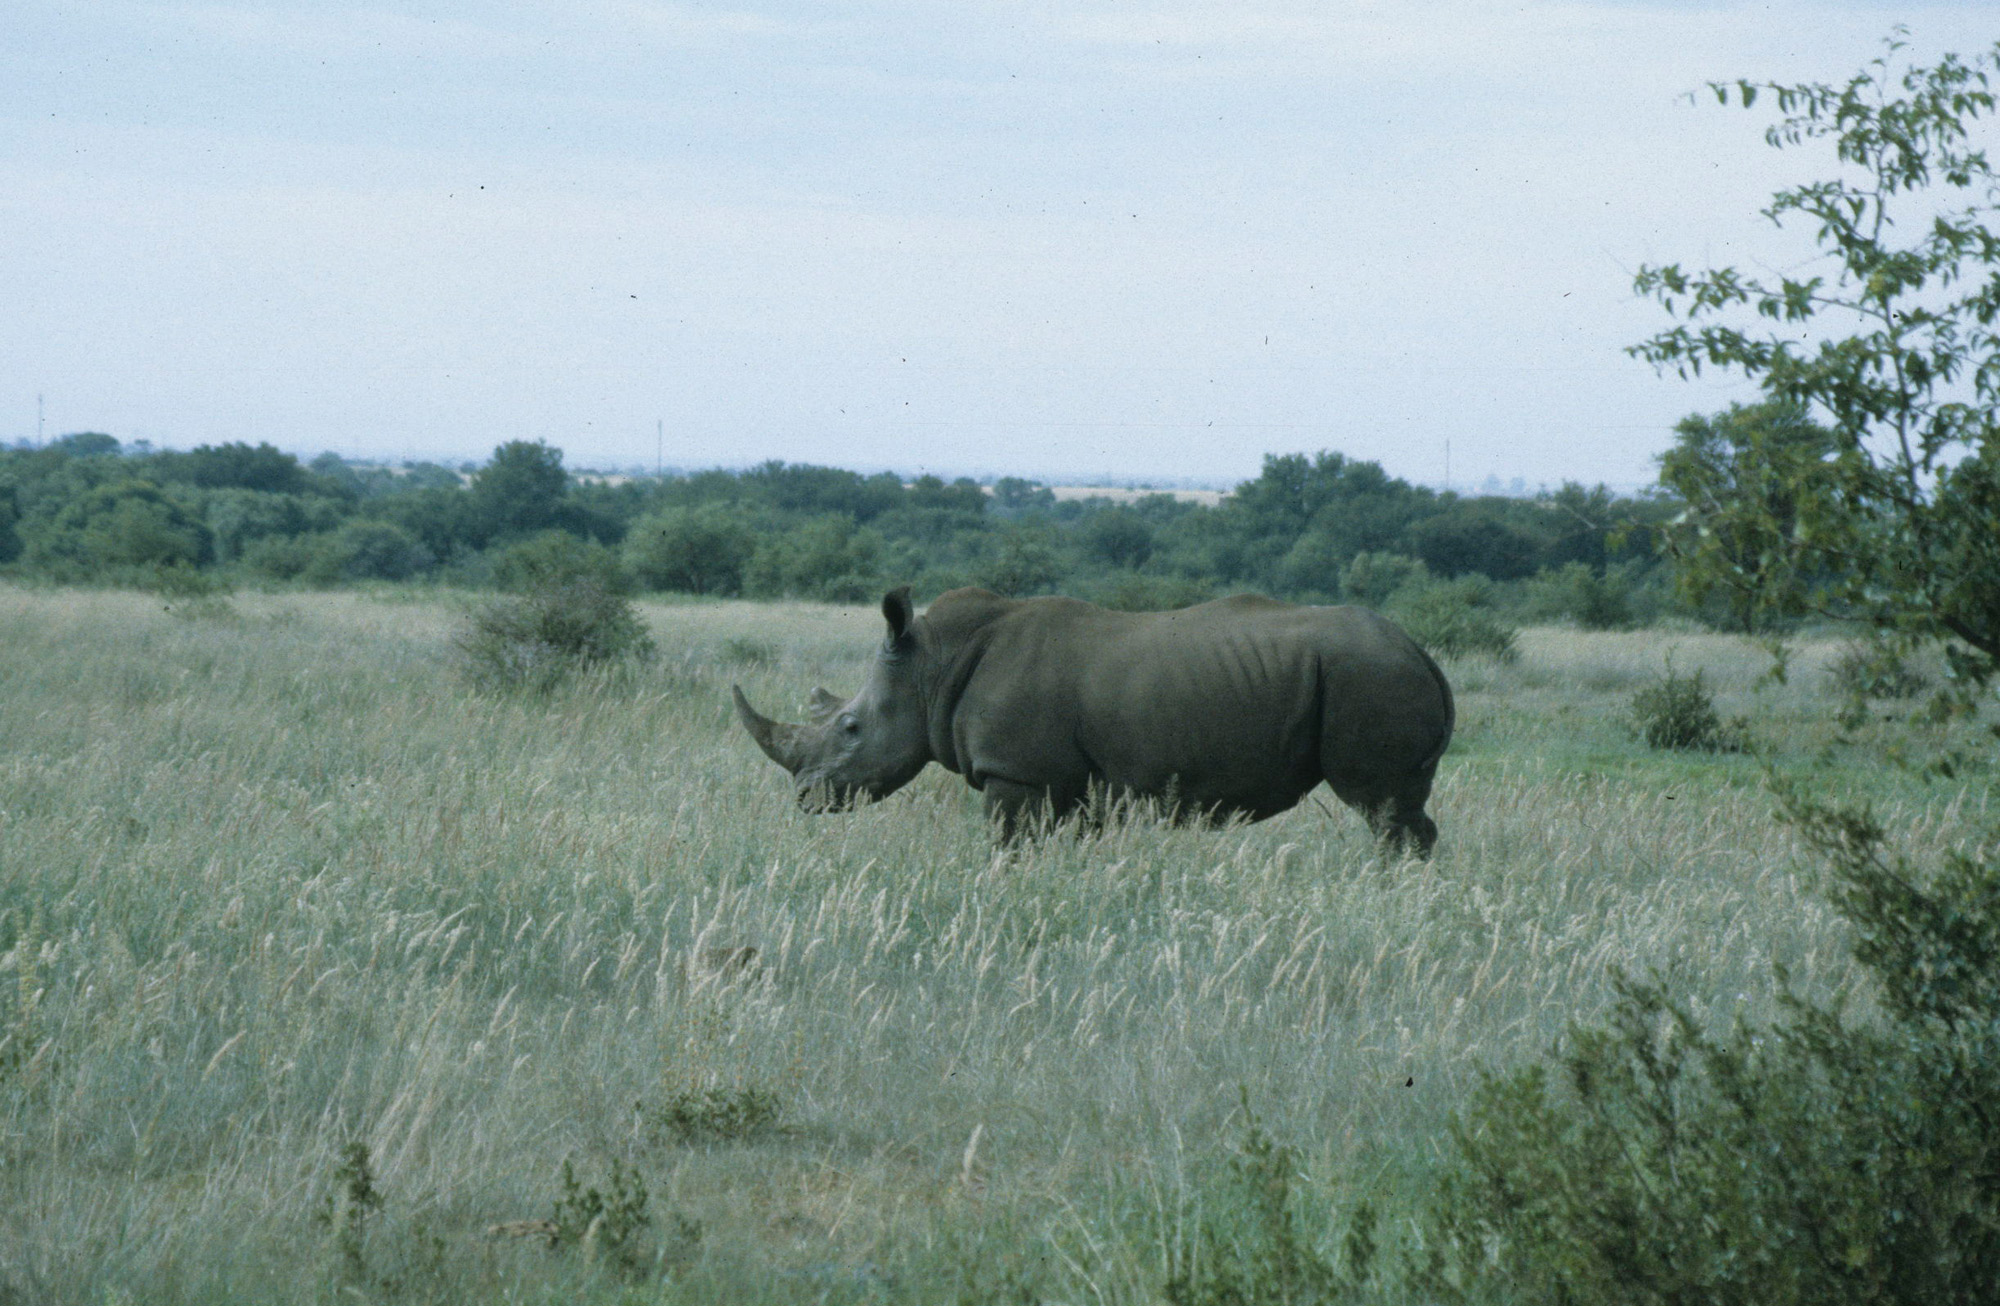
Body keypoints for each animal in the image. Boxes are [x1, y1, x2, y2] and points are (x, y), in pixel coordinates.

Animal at [732, 586, 1454, 852]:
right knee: (1400, 806)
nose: (806, 798)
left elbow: (1008, 848)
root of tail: (1422, 651)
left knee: (1381, 806)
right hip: (1374, 674)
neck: (931, 666)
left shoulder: (1016, 774)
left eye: (850, 728)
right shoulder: (1068, 782)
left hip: (1370, 677)